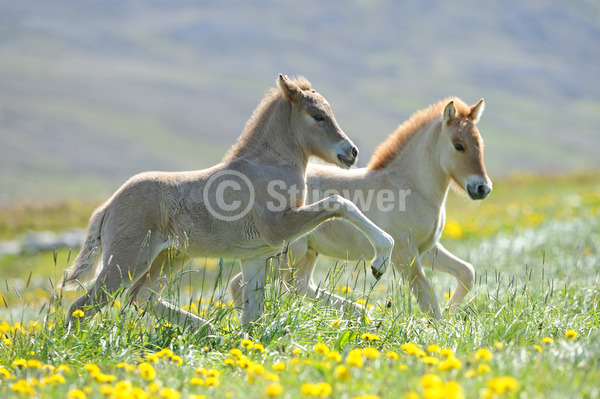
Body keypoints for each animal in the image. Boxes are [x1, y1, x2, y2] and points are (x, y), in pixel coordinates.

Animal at [59, 74, 394, 332]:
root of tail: (108, 206)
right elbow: (339, 203)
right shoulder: (280, 228)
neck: (267, 166)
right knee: (82, 306)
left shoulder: (257, 256)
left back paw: (211, 333)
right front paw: (380, 261)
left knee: (142, 297)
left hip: (171, 257)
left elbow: (253, 317)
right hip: (128, 260)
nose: (351, 152)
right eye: (318, 116)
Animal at [230, 96, 492, 318]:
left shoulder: (426, 249)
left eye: (480, 143)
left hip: (307, 252)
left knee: (299, 285)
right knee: (242, 284)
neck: (411, 187)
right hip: (287, 251)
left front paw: (451, 314)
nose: (483, 188)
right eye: (459, 145)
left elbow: (467, 272)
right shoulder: (404, 254)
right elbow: (427, 298)